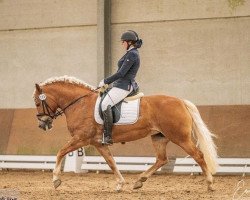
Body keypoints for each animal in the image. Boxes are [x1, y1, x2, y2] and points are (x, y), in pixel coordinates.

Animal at [32, 76, 217, 191]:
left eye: (37, 102)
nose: (42, 124)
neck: (80, 103)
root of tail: (181, 101)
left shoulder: (81, 139)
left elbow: (60, 152)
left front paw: (56, 180)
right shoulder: (98, 143)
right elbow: (111, 162)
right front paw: (120, 184)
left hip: (180, 138)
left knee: (198, 155)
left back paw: (210, 184)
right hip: (159, 137)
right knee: (161, 159)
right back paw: (139, 181)